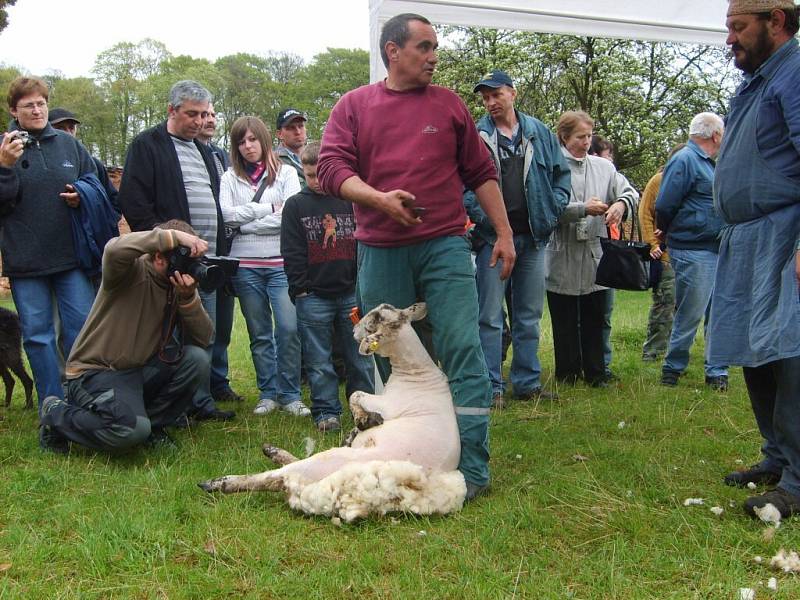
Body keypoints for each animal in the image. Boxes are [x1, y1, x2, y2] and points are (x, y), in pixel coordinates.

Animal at [196, 302, 466, 524]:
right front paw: (359, 426)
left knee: (271, 477)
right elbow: (356, 405)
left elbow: (355, 394)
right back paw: (272, 451)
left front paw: (364, 420)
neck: (418, 372)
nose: (353, 329)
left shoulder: (390, 404)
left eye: (375, 318)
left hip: (323, 463)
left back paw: (216, 483)